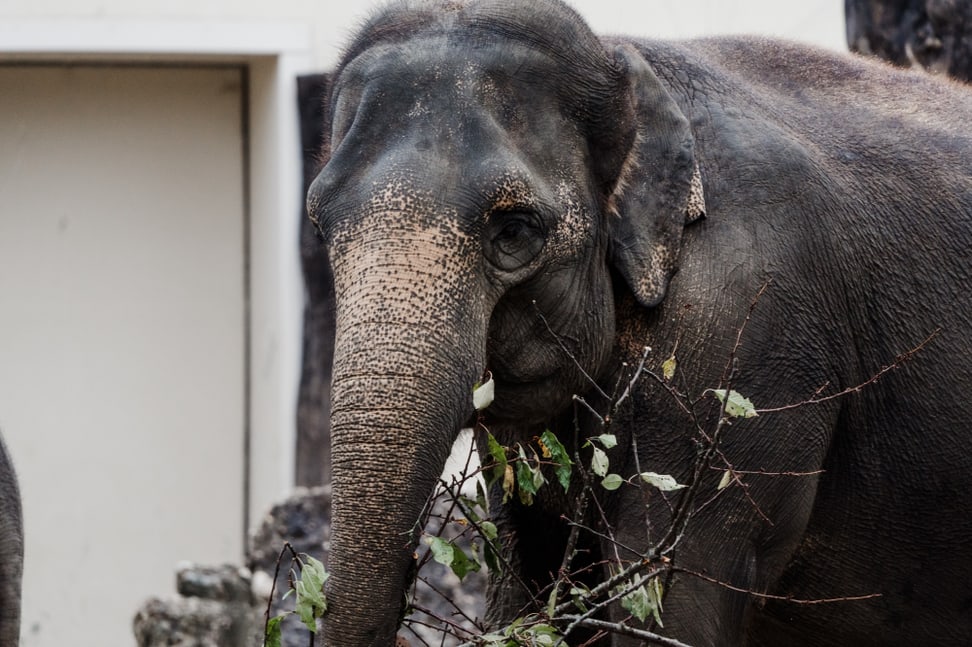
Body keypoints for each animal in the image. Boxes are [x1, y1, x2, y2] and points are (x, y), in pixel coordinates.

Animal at [306, 0, 972, 644]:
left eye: (514, 230)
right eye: (320, 227)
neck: (623, 59)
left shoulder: (741, 335)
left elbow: (670, 607)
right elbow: (532, 594)